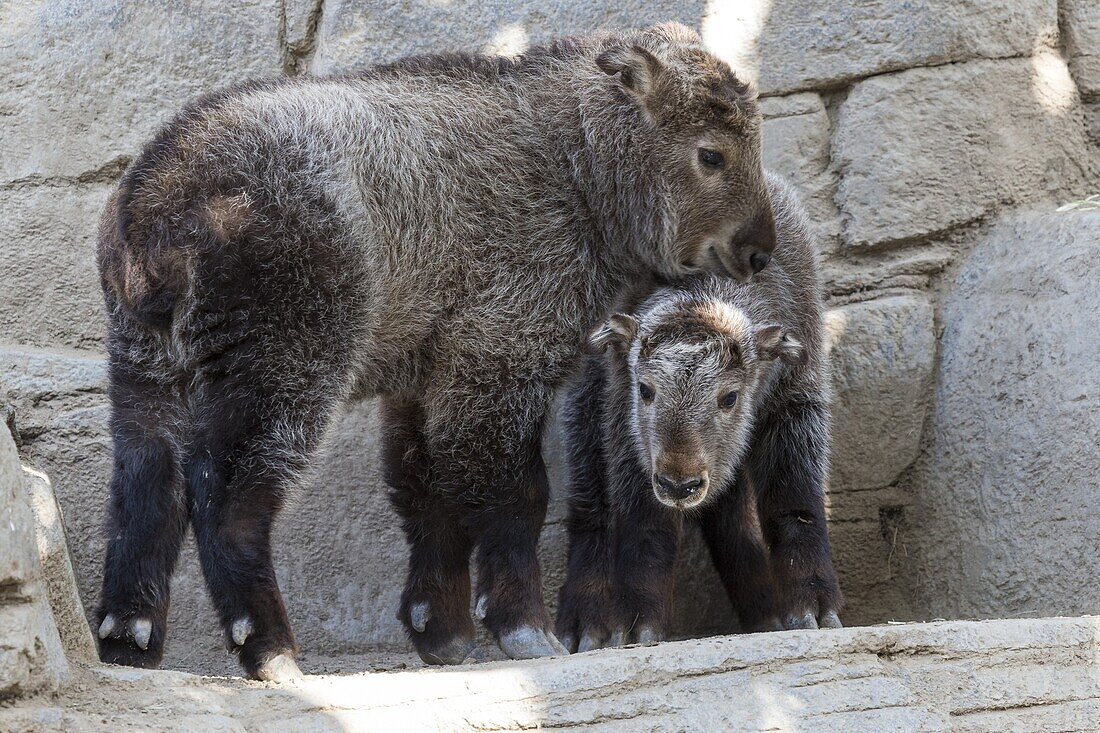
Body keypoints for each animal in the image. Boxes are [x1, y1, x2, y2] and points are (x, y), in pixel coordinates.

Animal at [96, 22, 783, 677]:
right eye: (711, 155)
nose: (759, 250)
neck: (578, 166)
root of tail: (156, 210)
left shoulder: (423, 377)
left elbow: (426, 491)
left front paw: (440, 632)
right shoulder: (498, 352)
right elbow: (516, 496)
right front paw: (523, 630)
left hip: (147, 367)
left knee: (147, 486)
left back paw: (128, 641)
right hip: (288, 362)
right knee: (228, 501)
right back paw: (269, 650)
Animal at [558, 173, 840, 647]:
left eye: (729, 397)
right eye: (645, 389)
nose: (680, 483)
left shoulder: (795, 405)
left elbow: (794, 502)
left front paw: (812, 608)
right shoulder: (625, 426)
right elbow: (644, 523)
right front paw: (638, 622)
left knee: (733, 519)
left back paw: (764, 611)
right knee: (589, 507)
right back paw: (586, 623)